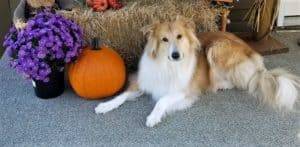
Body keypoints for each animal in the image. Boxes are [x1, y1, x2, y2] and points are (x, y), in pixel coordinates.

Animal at [95, 16, 300, 127]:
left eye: (179, 36)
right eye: (164, 39)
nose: (176, 55)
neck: (167, 65)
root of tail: (252, 51)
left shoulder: (184, 91)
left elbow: (162, 100)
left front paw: (153, 116)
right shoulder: (145, 81)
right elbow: (122, 95)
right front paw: (105, 105)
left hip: (216, 48)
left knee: (242, 81)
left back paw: (221, 85)